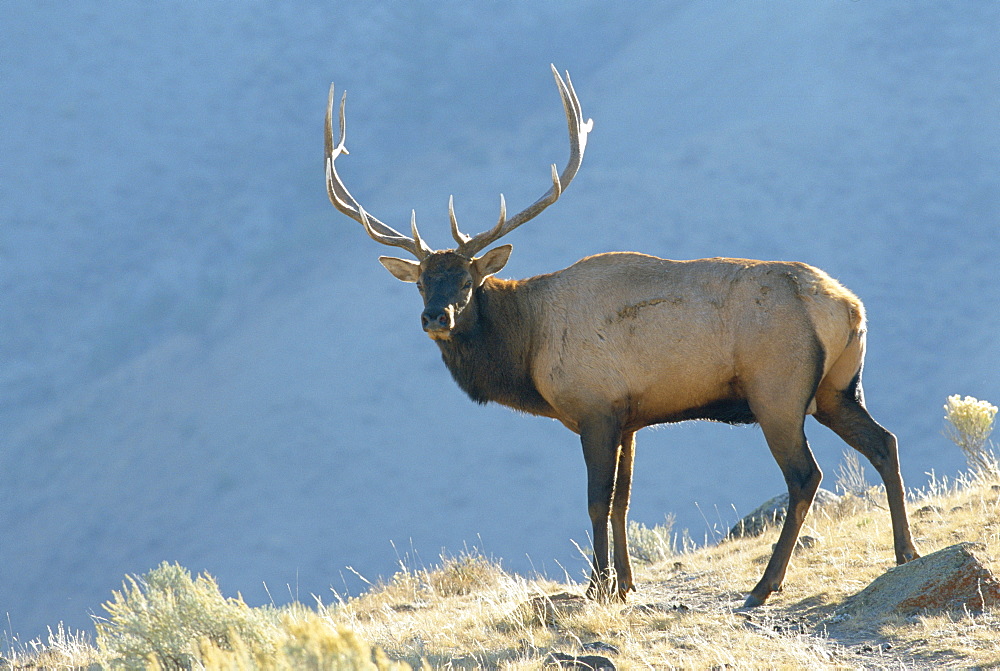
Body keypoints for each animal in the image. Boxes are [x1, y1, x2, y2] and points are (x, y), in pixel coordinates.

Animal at [324, 65, 916, 608]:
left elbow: (595, 500)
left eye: (469, 282)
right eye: (422, 281)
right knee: (884, 442)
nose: (435, 318)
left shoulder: (595, 408)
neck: (528, 349)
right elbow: (624, 501)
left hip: (778, 391)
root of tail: (848, 306)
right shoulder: (631, 418)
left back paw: (763, 586)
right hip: (837, 389)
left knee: (805, 476)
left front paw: (597, 586)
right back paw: (905, 551)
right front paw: (627, 583)